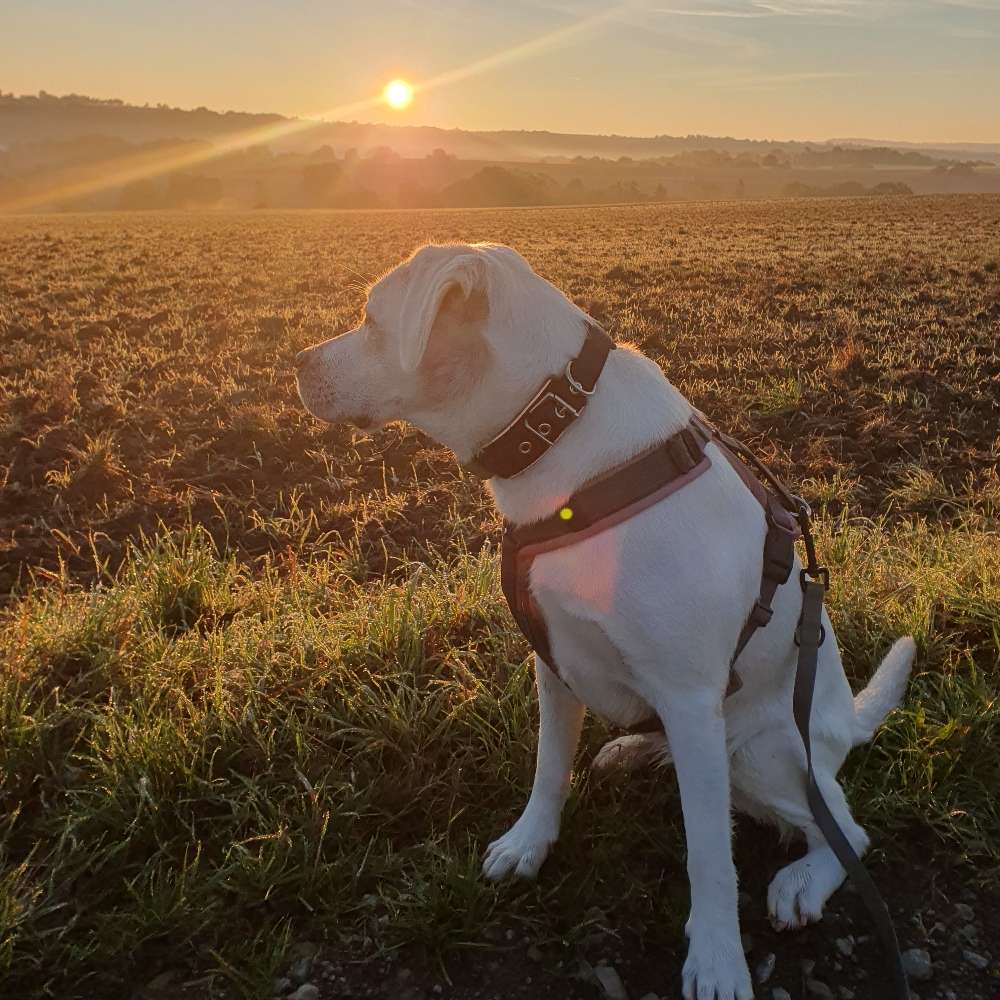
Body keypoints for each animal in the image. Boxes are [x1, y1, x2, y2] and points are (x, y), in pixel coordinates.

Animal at [294, 244, 916, 1000]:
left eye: (372, 318)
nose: (295, 363)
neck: (560, 430)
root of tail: (844, 722)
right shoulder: (554, 661)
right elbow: (549, 766)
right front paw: (530, 842)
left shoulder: (689, 695)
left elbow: (710, 854)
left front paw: (717, 958)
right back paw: (635, 751)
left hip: (762, 752)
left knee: (845, 831)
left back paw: (800, 881)